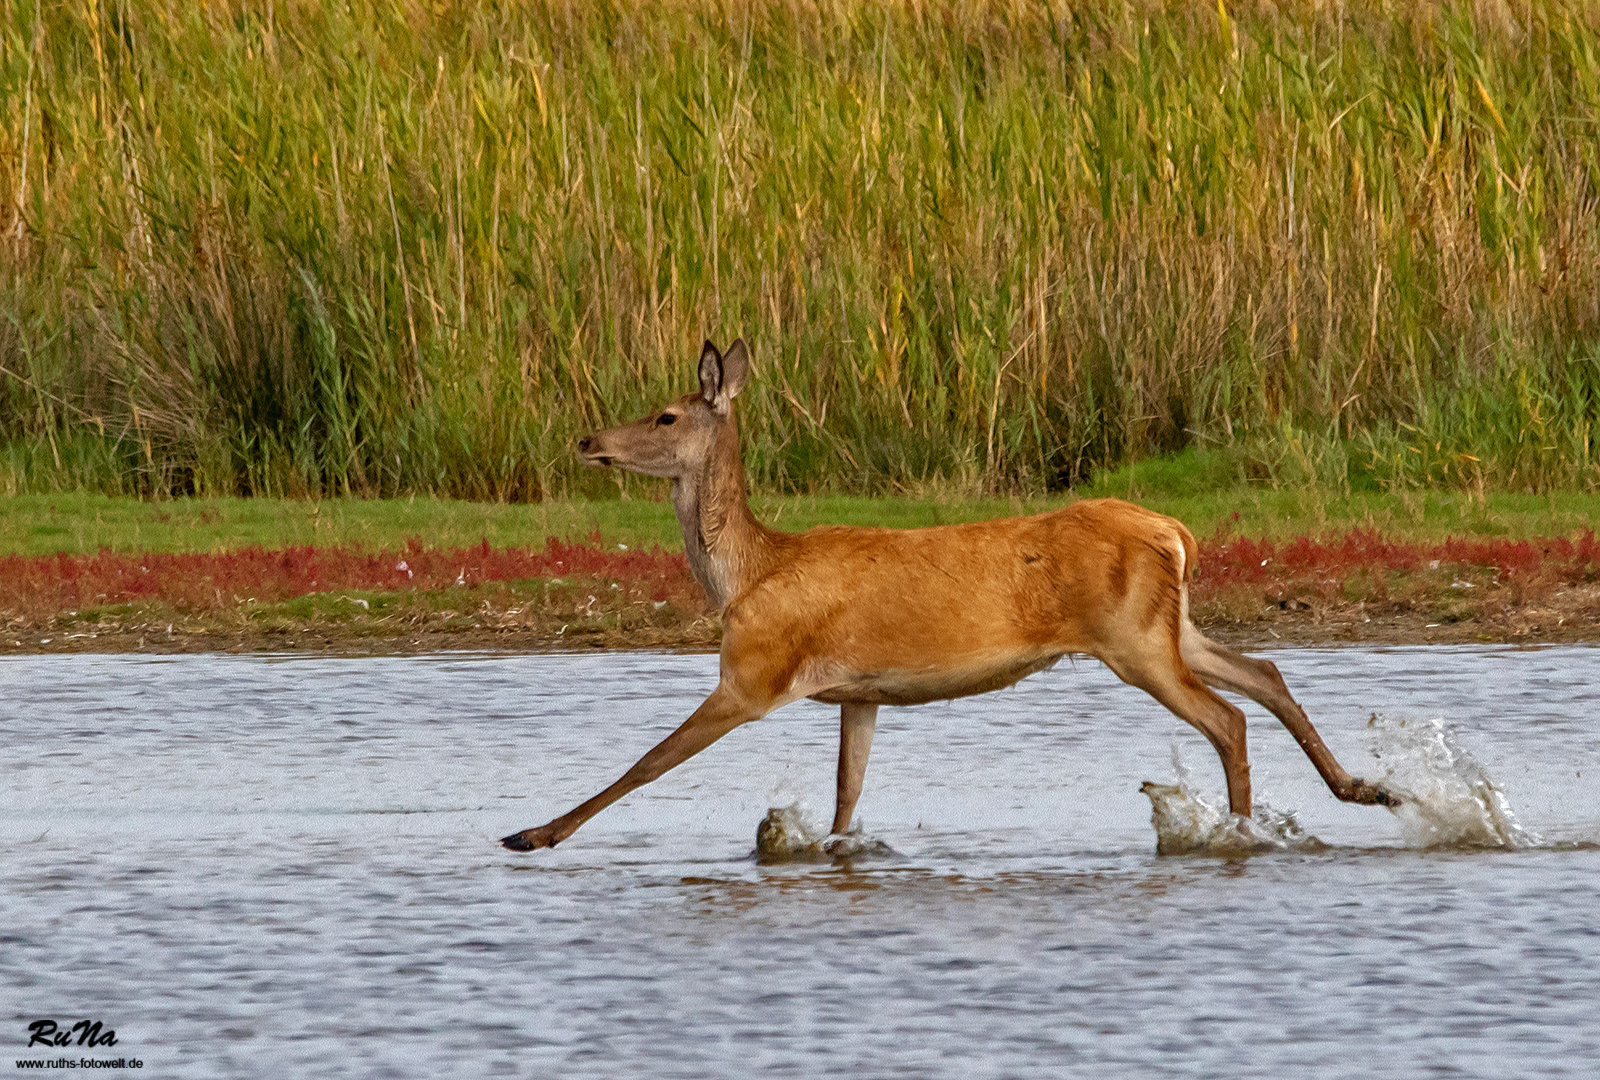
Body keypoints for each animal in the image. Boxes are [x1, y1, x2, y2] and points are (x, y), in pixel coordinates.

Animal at [502, 337, 1401, 851]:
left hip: (1134, 639)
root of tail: (1174, 529)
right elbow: (846, 796)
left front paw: (534, 834)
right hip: (1171, 624)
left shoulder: (753, 671)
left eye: (664, 415)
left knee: (1228, 716)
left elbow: (646, 764)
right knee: (1267, 673)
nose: (587, 439)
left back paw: (1242, 832)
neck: (747, 574)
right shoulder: (857, 693)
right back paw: (1366, 788)